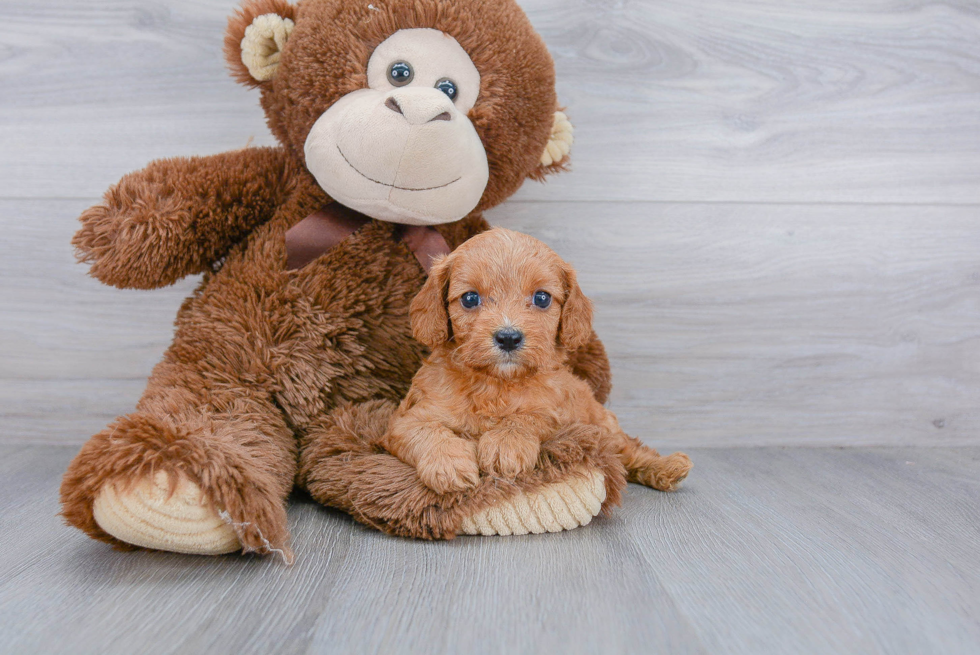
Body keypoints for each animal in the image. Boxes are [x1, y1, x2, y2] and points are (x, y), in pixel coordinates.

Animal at [380, 228, 688, 494]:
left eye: (541, 298)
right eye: (469, 298)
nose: (508, 337)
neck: (496, 384)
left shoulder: (556, 413)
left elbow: (528, 417)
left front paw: (505, 444)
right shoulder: (405, 419)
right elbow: (425, 430)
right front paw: (448, 464)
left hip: (602, 424)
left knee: (630, 449)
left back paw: (666, 467)